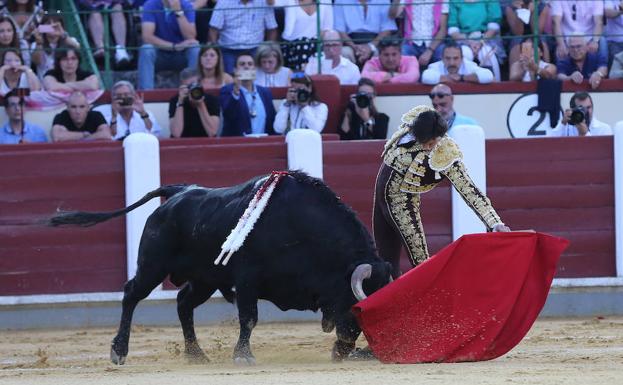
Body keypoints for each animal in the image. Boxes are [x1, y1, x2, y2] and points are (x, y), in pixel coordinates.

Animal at [50, 171, 390, 364]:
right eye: (355, 303)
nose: (344, 347)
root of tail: (178, 193)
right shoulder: (248, 278)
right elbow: (249, 318)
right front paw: (243, 356)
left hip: (204, 279)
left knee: (183, 303)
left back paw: (196, 355)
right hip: (153, 265)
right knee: (132, 294)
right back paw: (119, 351)